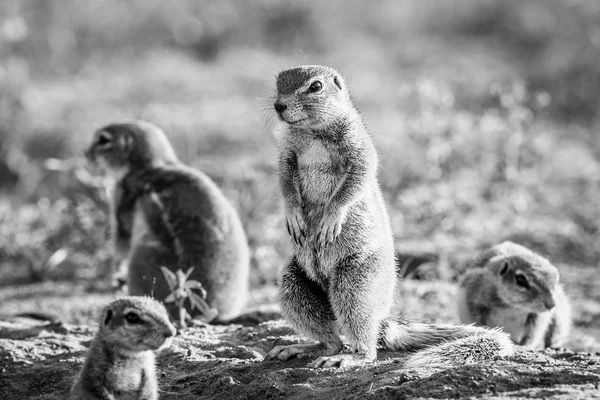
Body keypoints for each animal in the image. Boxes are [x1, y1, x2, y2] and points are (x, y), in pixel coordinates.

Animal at [85, 119, 250, 322]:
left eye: (103, 139)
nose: (86, 154)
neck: (151, 165)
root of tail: (204, 311)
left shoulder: (121, 198)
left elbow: (120, 244)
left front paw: (116, 276)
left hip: (140, 258)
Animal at [264, 65, 512, 368]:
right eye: (278, 83)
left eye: (316, 86)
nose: (279, 105)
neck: (312, 132)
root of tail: (383, 320)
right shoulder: (286, 153)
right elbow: (285, 182)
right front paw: (293, 216)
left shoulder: (359, 147)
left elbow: (357, 179)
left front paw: (330, 218)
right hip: (293, 283)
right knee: (331, 339)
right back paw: (301, 349)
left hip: (356, 283)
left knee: (364, 344)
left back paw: (349, 358)